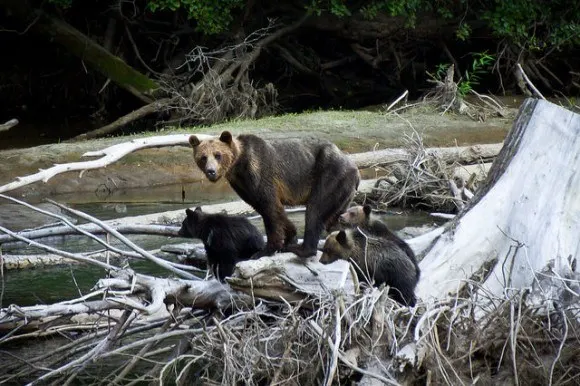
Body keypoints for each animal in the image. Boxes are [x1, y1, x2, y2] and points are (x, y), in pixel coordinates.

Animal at [188, 130, 360, 260]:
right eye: (203, 157)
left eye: (217, 155)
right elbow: (272, 210)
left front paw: (266, 250)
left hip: (330, 175)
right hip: (342, 193)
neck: (238, 167)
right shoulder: (244, 187)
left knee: (315, 209)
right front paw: (290, 236)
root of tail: (355, 170)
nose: (211, 171)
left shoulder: (260, 174)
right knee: (334, 219)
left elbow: (270, 208)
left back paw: (303, 248)